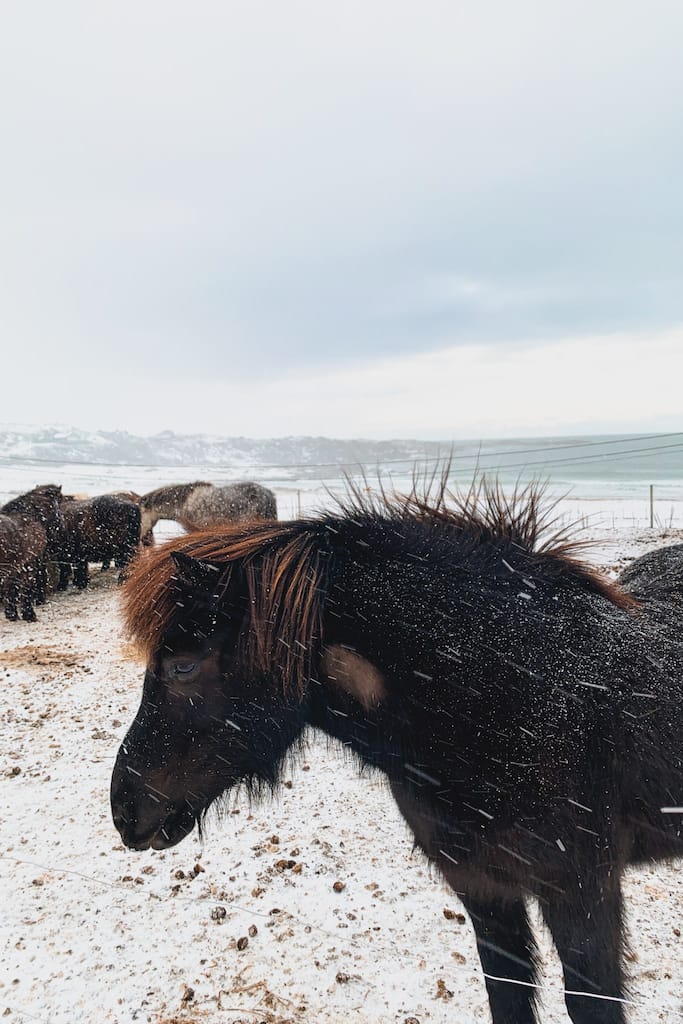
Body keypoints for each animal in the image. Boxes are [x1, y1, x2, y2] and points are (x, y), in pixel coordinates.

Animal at [0, 484, 63, 620]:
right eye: (60, 502)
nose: (61, 526)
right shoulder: (29, 564)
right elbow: (27, 588)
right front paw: (29, 614)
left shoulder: (14, 568)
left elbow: (11, 589)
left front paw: (11, 614)